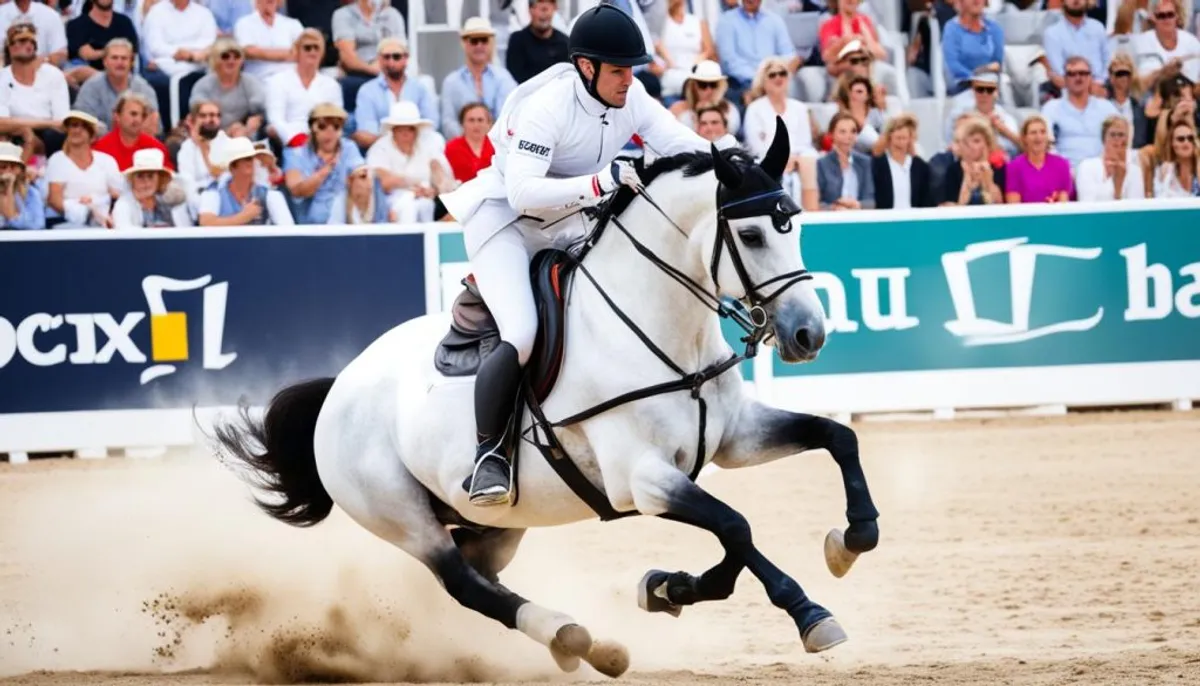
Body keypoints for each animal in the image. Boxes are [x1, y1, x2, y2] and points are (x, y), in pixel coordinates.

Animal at [218, 120, 883, 676]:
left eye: (793, 225)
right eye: (750, 234)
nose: (808, 334)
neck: (659, 331)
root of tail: (339, 388)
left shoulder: (735, 439)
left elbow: (836, 437)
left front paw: (847, 542)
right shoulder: (641, 479)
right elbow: (736, 528)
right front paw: (806, 613)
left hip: (494, 523)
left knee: (481, 574)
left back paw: (582, 644)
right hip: (401, 516)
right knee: (461, 583)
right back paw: (573, 637)